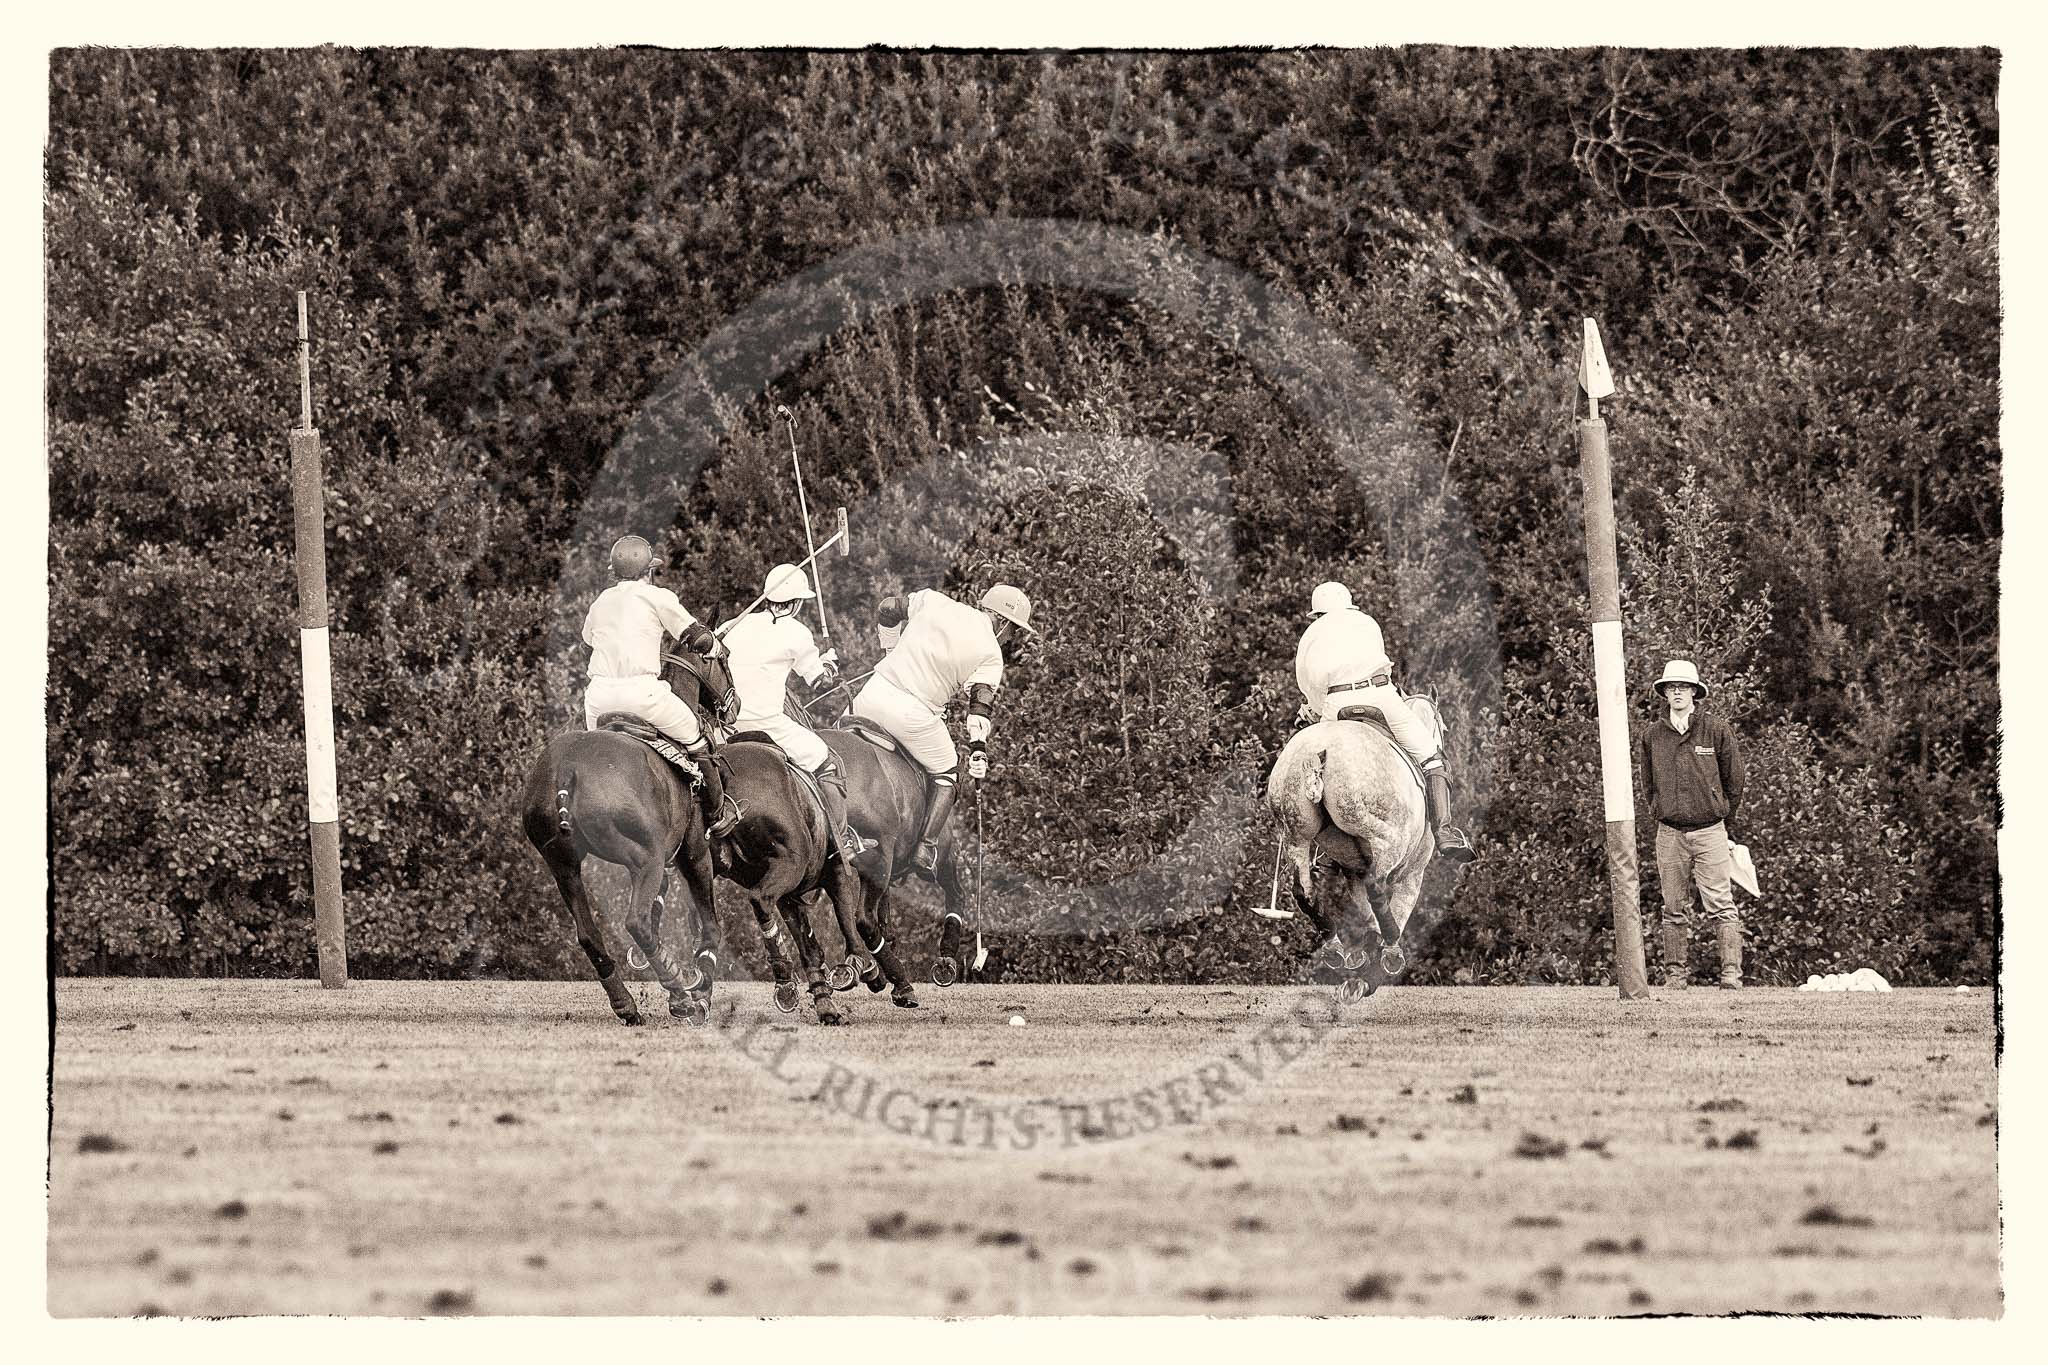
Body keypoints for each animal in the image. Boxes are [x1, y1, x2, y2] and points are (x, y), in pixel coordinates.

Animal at [516, 650, 741, 1023]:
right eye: (723, 657)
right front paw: (701, 996)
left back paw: (626, 1003)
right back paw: (679, 992)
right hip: (644, 858)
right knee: (637, 922)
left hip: (562, 865)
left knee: (589, 934)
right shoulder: (694, 853)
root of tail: (567, 768)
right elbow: (710, 927)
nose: (733, 706)